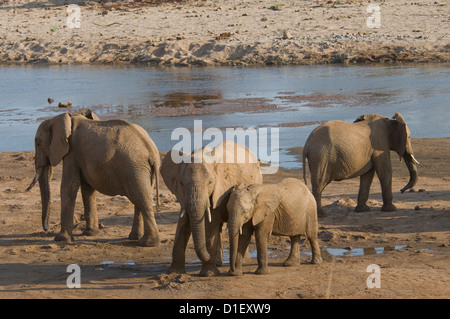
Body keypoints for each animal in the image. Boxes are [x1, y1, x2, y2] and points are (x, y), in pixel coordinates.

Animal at [26, 110, 162, 248]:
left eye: (38, 143)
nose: (47, 229)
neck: (64, 118)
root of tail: (152, 151)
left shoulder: (72, 152)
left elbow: (69, 186)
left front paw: (61, 239)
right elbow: (87, 188)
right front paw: (91, 233)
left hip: (134, 168)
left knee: (141, 199)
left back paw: (147, 243)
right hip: (140, 170)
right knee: (139, 199)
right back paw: (135, 238)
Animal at [162, 141, 262, 278]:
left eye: (210, 182)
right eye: (181, 183)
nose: (207, 256)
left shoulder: (220, 190)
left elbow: (211, 222)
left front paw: (208, 273)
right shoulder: (184, 196)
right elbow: (183, 223)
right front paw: (174, 272)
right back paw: (219, 263)